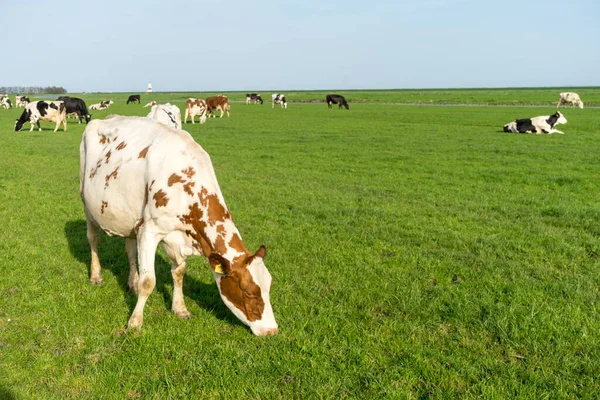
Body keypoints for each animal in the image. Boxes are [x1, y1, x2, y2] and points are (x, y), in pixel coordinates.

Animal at [77, 115, 278, 334]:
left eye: (269, 286)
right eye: (249, 292)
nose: (271, 330)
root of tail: (105, 117)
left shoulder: (174, 234)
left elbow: (179, 273)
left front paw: (180, 308)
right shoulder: (149, 230)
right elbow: (149, 282)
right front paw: (135, 323)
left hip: (129, 219)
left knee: (129, 249)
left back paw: (132, 282)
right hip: (87, 205)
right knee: (93, 240)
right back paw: (96, 276)